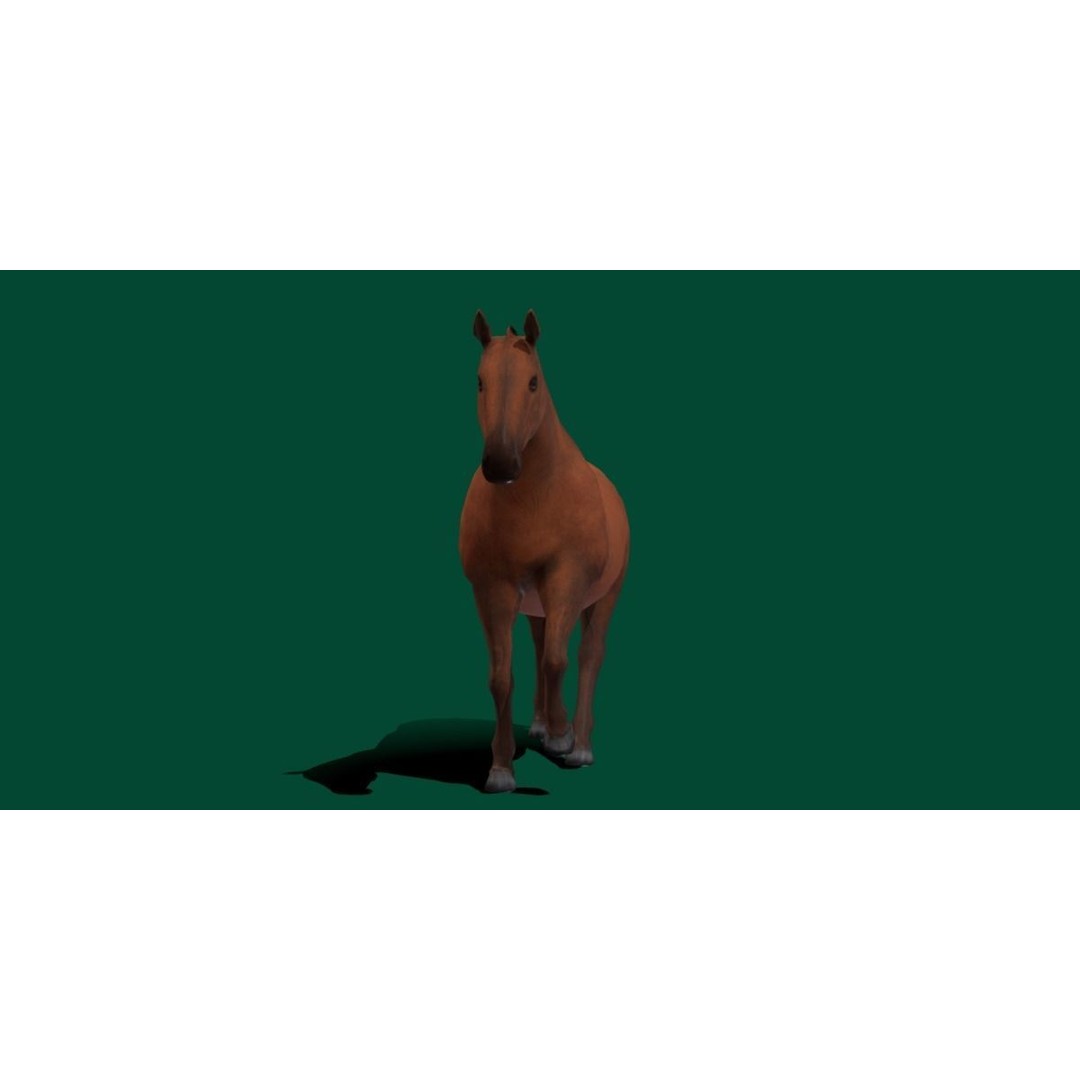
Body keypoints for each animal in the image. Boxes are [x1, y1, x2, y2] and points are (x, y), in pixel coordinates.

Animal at [458, 309, 630, 793]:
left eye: (533, 382)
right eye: (479, 381)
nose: (500, 464)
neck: (534, 500)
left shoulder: (566, 579)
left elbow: (559, 661)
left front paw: (561, 735)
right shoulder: (493, 590)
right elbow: (501, 678)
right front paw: (500, 769)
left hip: (603, 596)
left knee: (588, 657)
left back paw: (579, 744)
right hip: (534, 604)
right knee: (538, 645)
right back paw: (538, 726)